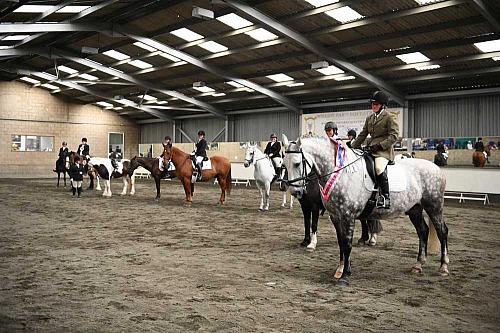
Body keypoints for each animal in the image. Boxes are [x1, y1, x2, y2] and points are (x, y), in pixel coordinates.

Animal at [282, 134, 450, 286]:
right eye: (284, 165)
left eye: (297, 163)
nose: (296, 191)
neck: (341, 173)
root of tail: (437, 168)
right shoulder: (335, 216)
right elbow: (341, 242)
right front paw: (341, 270)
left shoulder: (347, 215)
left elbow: (347, 243)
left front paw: (344, 277)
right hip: (415, 209)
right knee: (423, 231)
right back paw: (418, 265)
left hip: (434, 206)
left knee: (442, 232)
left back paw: (443, 267)